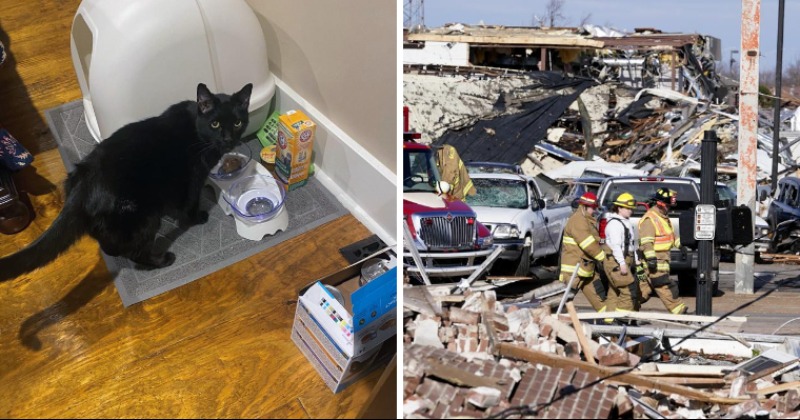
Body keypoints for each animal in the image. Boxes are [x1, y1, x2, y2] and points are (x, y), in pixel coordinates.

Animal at [0, 81, 253, 282]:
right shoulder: (192, 179)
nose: (229, 139)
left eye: (238, 123)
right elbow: (190, 203)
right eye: (215, 124)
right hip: (144, 218)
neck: (198, 132)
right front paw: (197, 217)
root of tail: (84, 183)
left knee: (109, 244)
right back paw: (163, 260)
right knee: (135, 253)